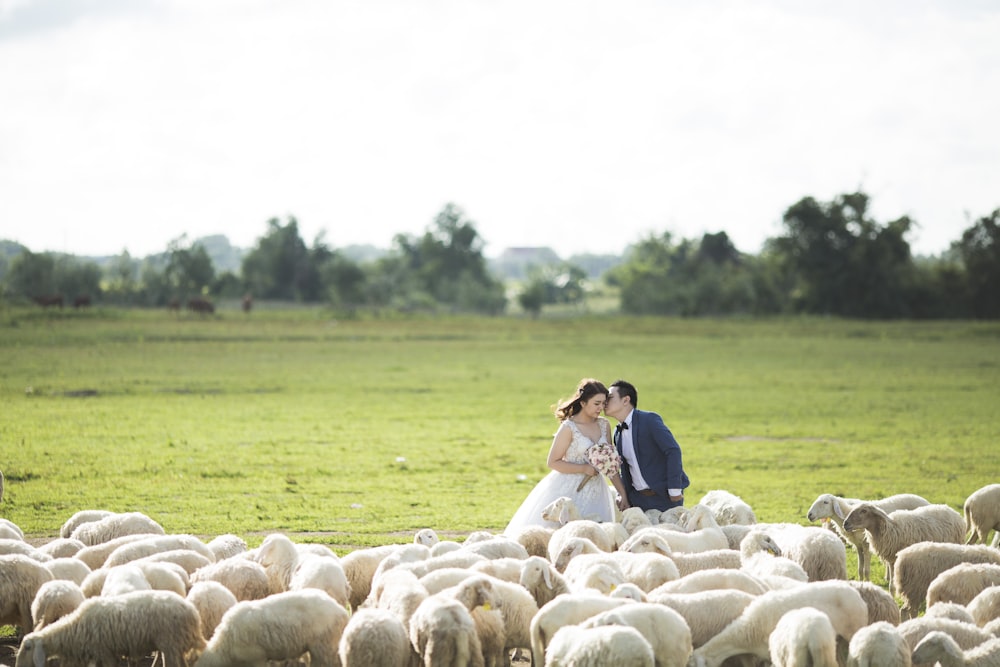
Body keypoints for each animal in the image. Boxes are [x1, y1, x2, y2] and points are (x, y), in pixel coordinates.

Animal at [15, 588, 205, 667]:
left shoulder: (106, 652)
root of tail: (193, 613)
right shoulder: (100, 654)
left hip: (170, 644)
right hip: (173, 646)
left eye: (27, 648)